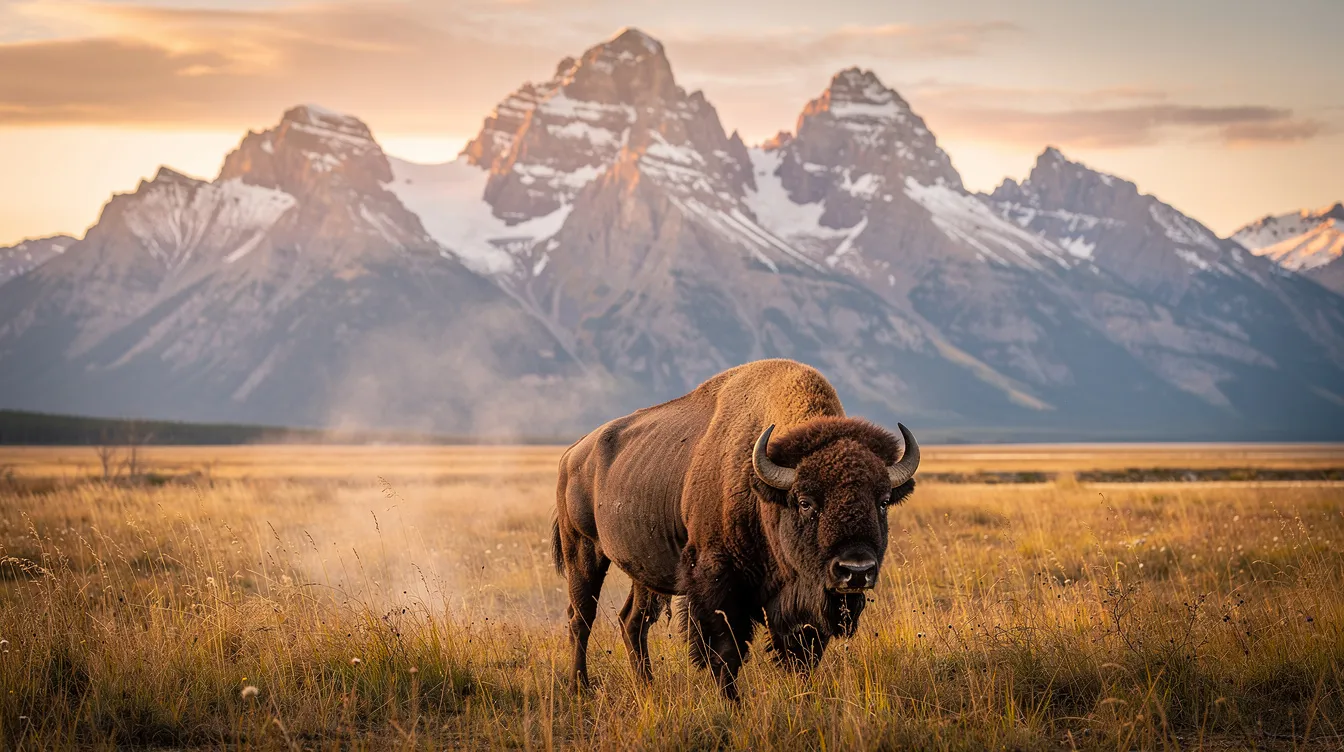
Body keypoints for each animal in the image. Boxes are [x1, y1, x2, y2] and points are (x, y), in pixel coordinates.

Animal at [552, 359, 919, 699]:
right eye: (804, 502)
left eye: (883, 501)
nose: (856, 570)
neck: (764, 491)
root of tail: (572, 454)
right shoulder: (717, 582)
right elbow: (726, 651)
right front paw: (732, 704)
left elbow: (804, 653)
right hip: (582, 551)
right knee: (581, 618)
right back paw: (579, 687)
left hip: (643, 573)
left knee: (632, 621)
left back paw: (647, 687)